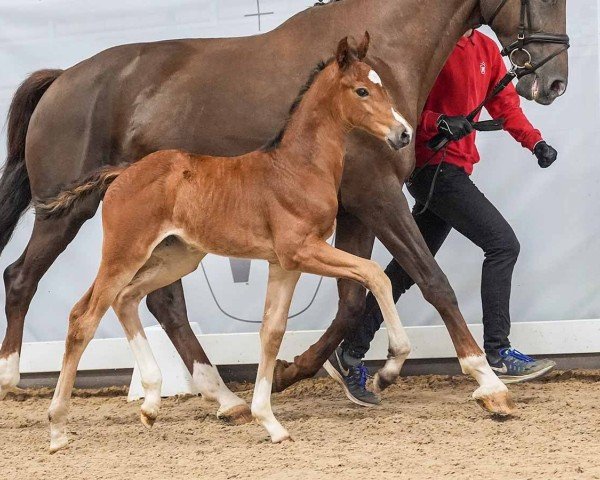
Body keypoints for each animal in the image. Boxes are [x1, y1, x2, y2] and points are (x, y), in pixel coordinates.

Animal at [0, 0, 568, 414]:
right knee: (22, 277)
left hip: (168, 236)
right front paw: (485, 380)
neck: (391, 50)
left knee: (162, 302)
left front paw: (327, 373)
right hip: (66, 214)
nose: (552, 82)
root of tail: (62, 79)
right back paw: (11, 378)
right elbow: (430, 279)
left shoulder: (353, 208)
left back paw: (222, 396)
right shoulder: (378, 195)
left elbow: (354, 297)